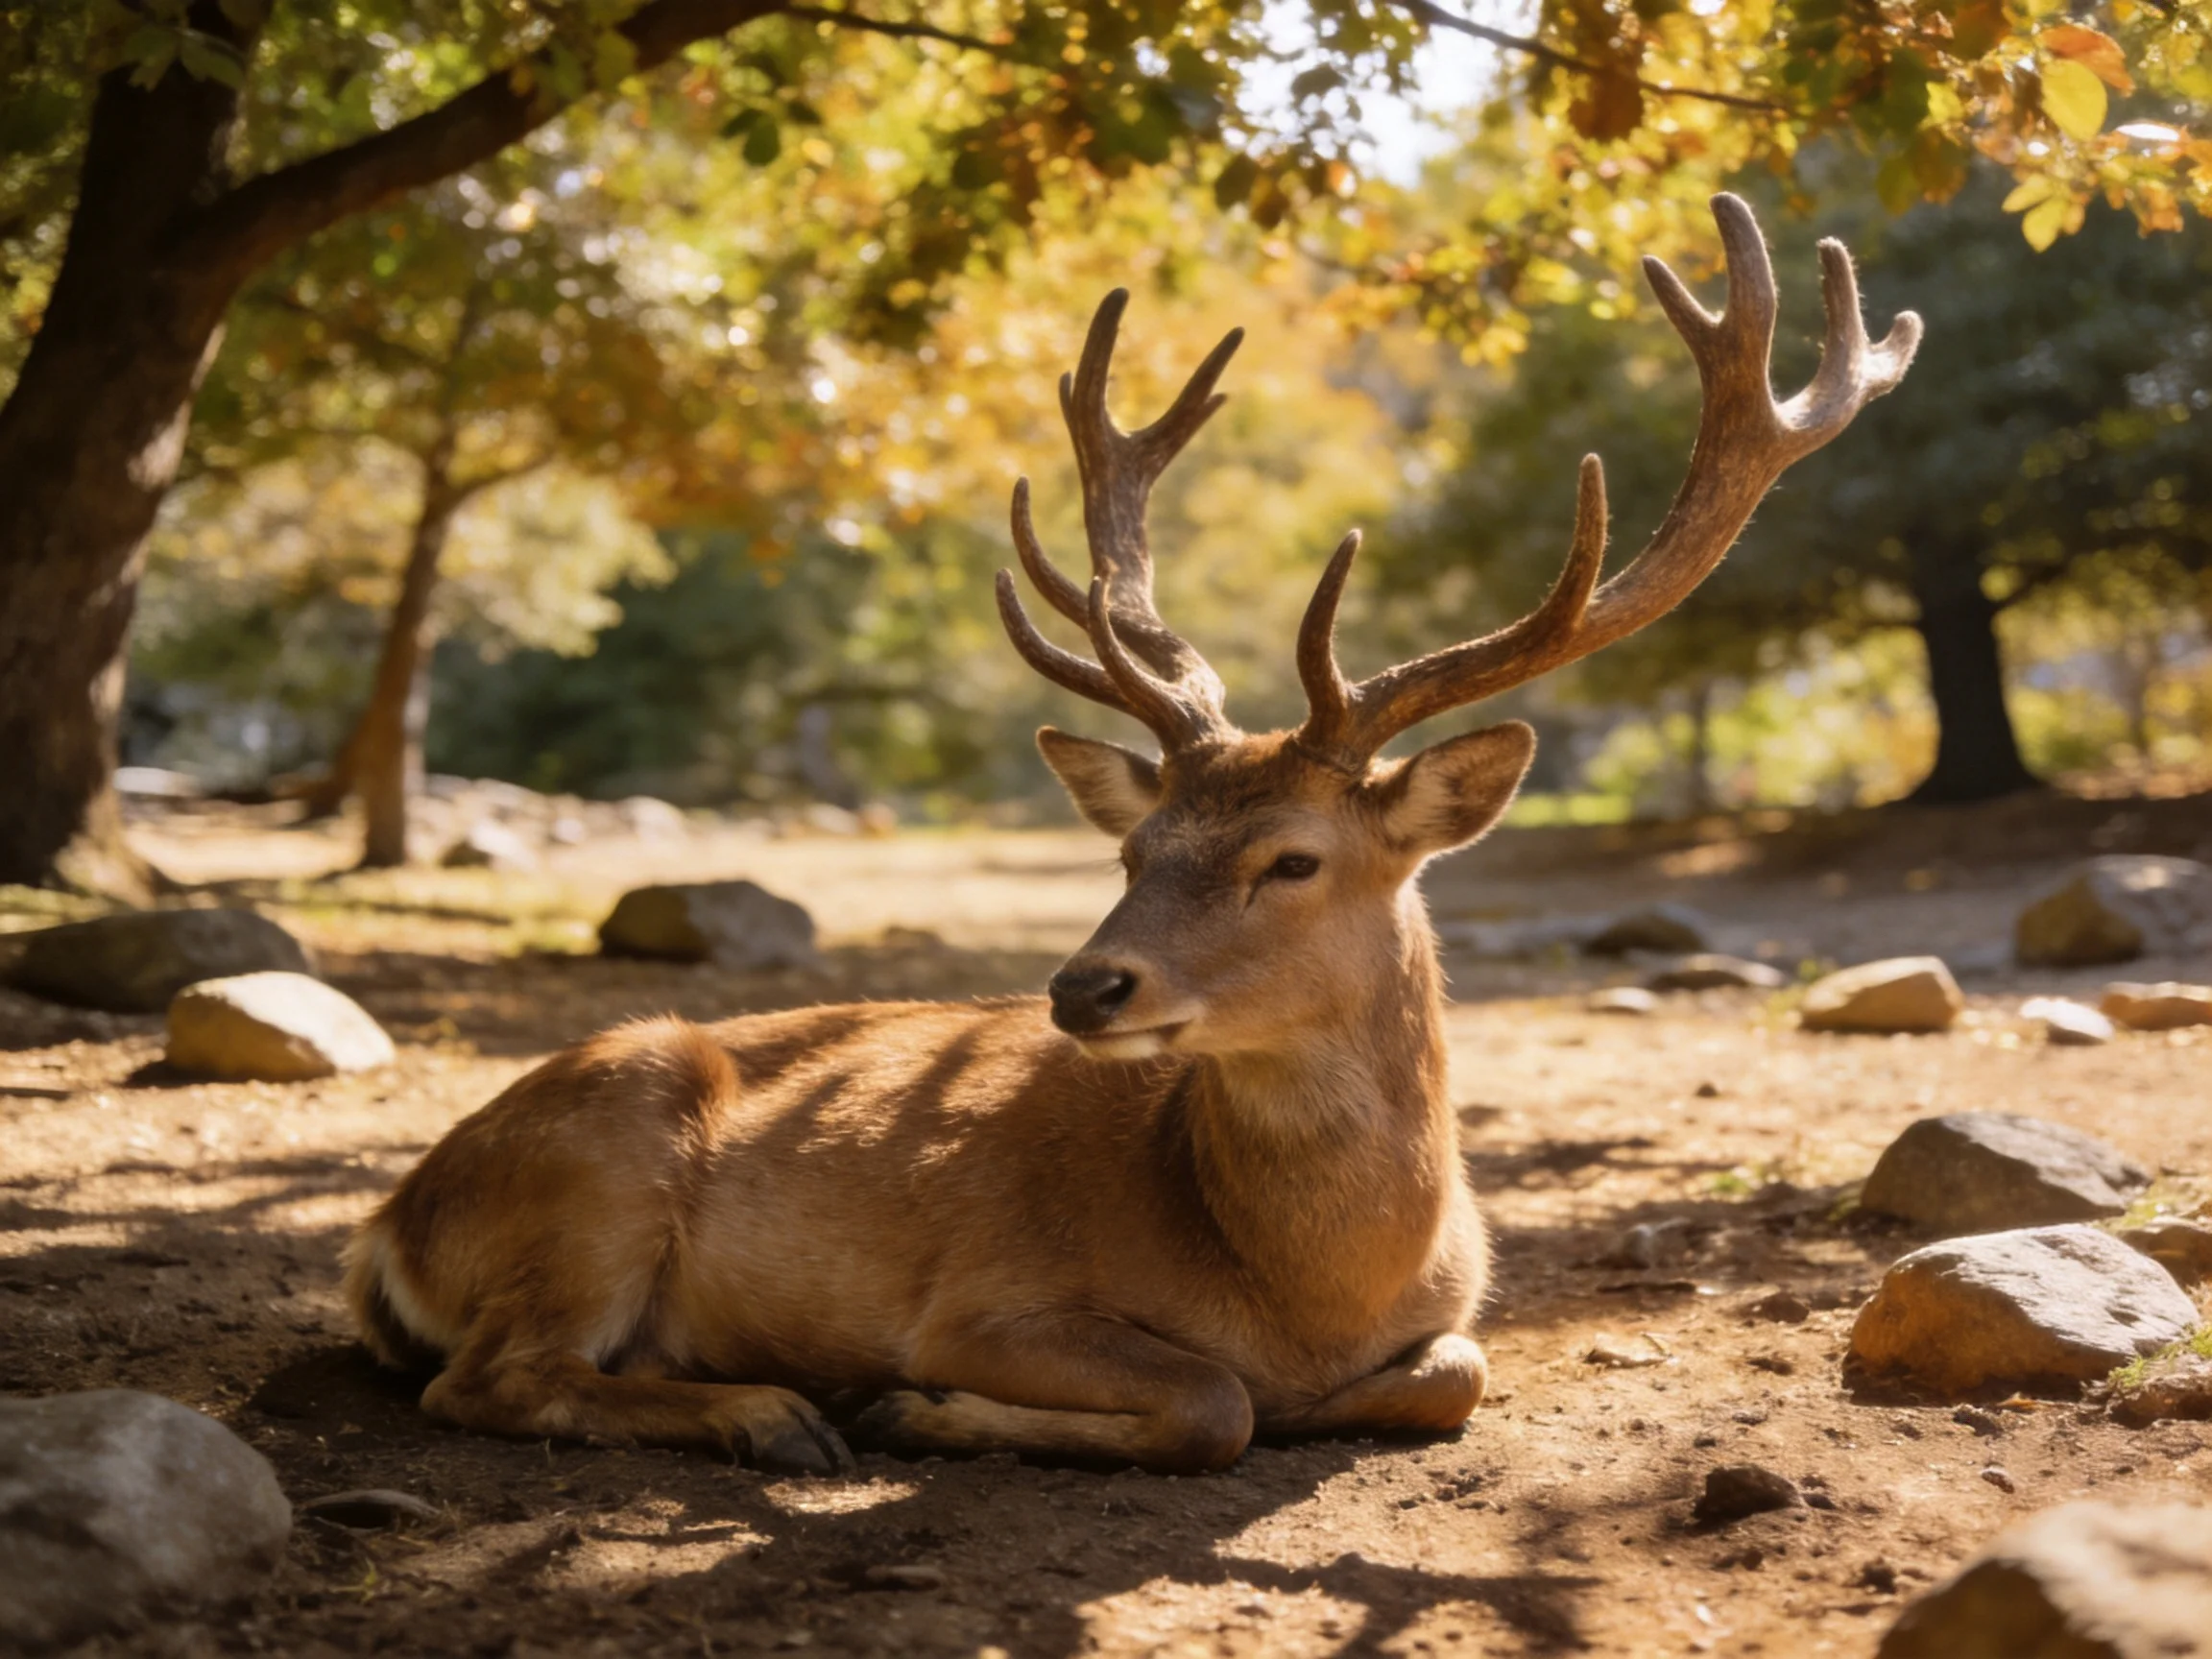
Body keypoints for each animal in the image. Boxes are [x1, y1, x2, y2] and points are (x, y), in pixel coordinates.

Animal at [343, 195, 1918, 1476]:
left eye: (1293, 857)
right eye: (1131, 851)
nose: (1082, 987)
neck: (1314, 1288)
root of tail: (390, 1225)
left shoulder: (1460, 1317)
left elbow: (1449, 1376)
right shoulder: (982, 1298)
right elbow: (1214, 1401)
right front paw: (909, 1407)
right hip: (601, 1158)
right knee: (486, 1380)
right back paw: (772, 1412)